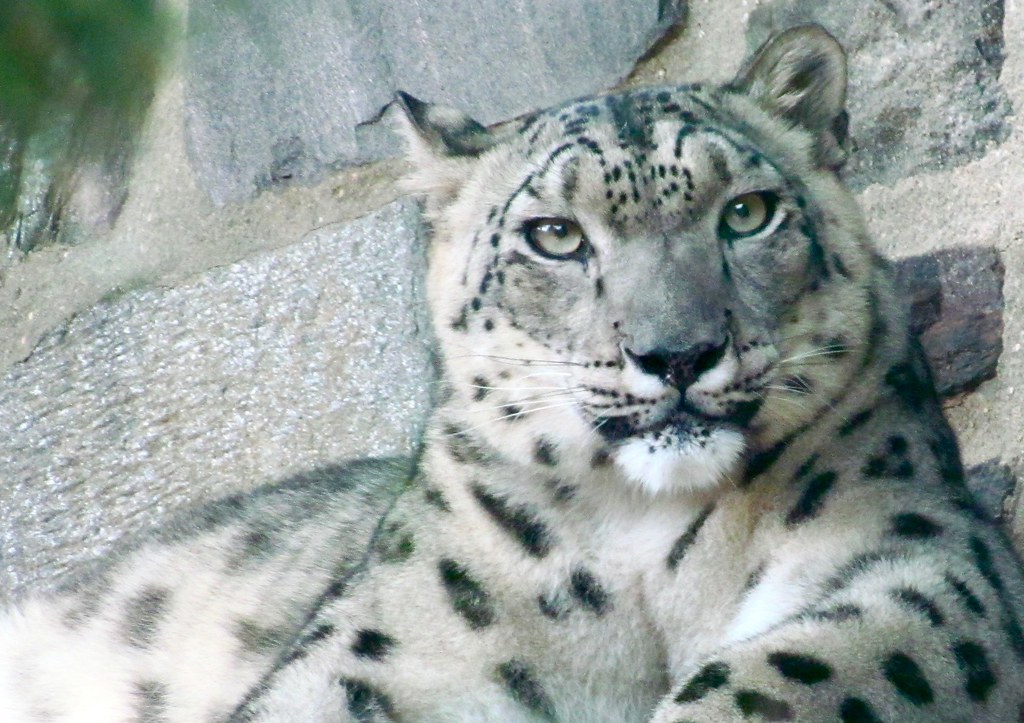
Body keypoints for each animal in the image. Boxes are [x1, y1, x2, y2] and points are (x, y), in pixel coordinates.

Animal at [2, 24, 1024, 722]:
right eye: (556, 235)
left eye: (746, 212)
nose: (678, 353)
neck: (643, 560)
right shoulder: (387, 653)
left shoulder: (927, 564)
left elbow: (793, 673)